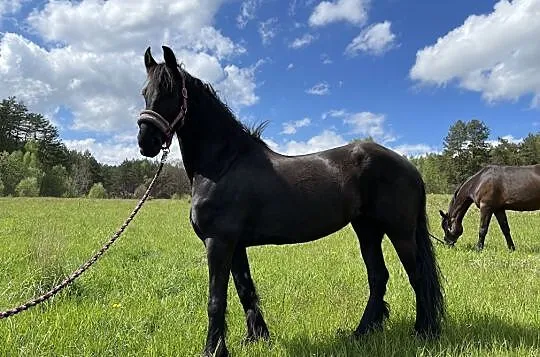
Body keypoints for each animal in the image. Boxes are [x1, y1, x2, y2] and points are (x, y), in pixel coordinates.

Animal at [135, 46, 442, 354]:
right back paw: (361, 332)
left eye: (171, 91)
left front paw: (213, 350)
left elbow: (216, 301)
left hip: (400, 232)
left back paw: (424, 332)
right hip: (367, 229)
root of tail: (409, 166)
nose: (146, 141)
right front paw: (256, 338)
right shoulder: (235, 245)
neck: (224, 163)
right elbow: (245, 290)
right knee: (379, 277)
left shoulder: (218, 242)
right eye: (145, 92)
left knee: (418, 277)